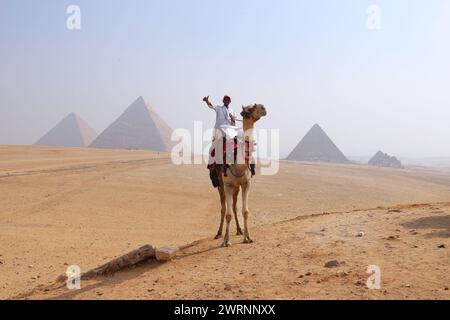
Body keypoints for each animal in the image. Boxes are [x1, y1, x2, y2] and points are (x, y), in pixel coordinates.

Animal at [214, 104, 268, 246]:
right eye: (249, 110)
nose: (263, 107)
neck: (238, 165)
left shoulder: (246, 184)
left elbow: (245, 211)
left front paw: (248, 237)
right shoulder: (227, 185)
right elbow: (228, 214)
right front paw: (226, 241)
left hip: (236, 187)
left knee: (234, 208)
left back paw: (239, 230)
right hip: (221, 186)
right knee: (223, 209)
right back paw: (218, 233)